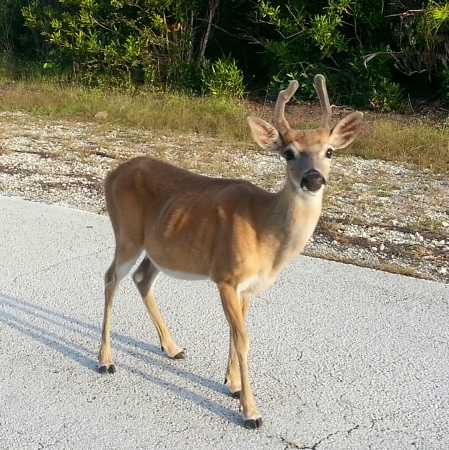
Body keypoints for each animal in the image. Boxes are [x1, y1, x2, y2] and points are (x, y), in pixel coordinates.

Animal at [99, 74, 364, 428]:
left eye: (330, 151)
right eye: (289, 153)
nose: (313, 179)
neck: (266, 232)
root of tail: (111, 173)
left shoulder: (248, 286)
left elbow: (234, 332)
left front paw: (233, 384)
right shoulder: (225, 275)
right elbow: (243, 338)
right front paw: (250, 412)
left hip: (161, 247)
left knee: (142, 278)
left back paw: (173, 348)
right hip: (127, 234)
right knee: (111, 278)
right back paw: (105, 360)